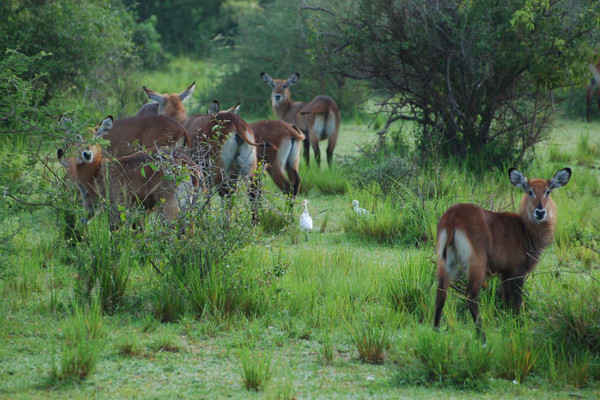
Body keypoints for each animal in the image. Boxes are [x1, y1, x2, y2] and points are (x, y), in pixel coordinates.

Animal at [436, 166, 572, 338]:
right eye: (530, 191)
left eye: (548, 191)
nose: (540, 212)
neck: (525, 230)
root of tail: (453, 218)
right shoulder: (516, 271)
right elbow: (516, 302)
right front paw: (518, 328)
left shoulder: (504, 274)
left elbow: (506, 301)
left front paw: (508, 327)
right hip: (477, 263)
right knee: (471, 295)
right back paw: (482, 336)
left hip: (445, 261)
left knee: (441, 293)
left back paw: (435, 331)